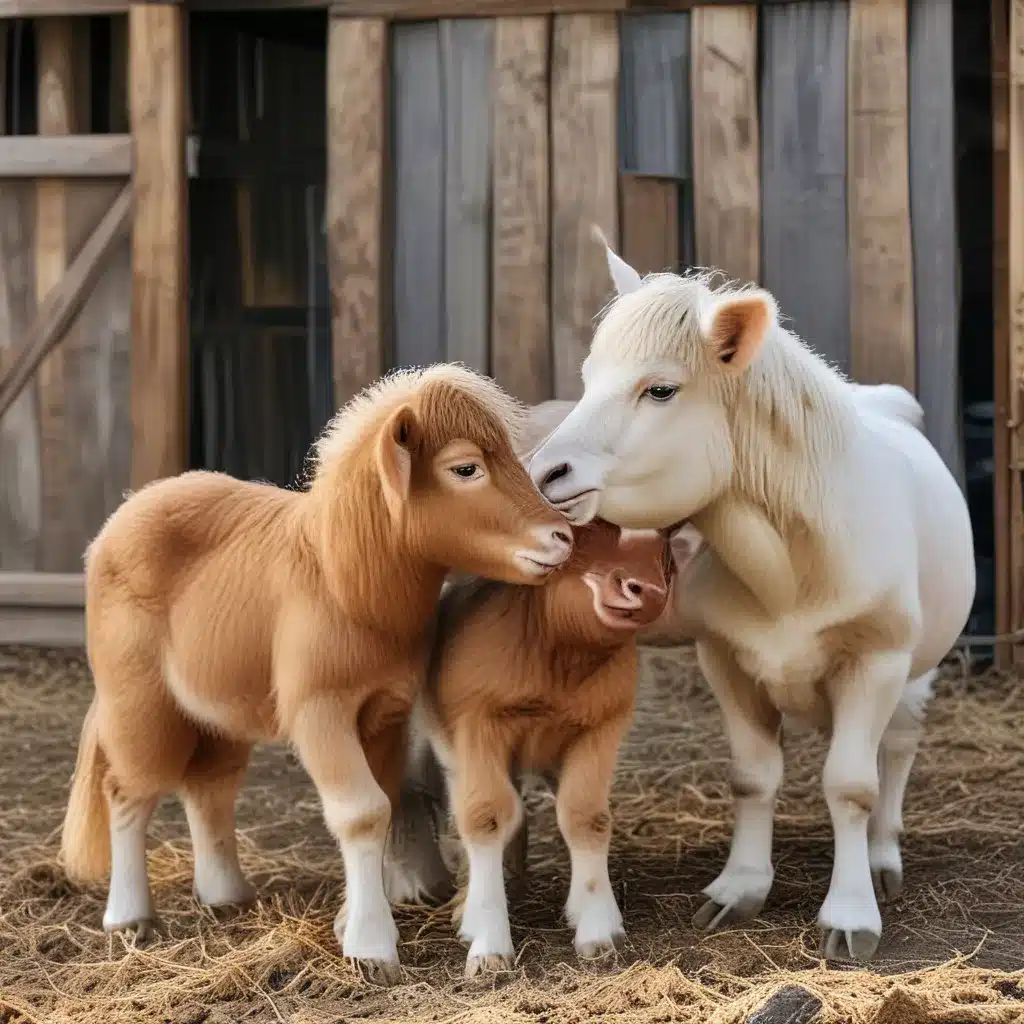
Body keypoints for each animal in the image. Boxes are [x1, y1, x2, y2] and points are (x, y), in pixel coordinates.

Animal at [61, 364, 577, 978]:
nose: (563, 537)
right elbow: (360, 812)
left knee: (209, 787)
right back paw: (128, 917)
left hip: (218, 707)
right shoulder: (319, 710)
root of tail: (120, 519)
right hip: (137, 699)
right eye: (465, 467)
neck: (342, 581)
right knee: (128, 790)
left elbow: (381, 804)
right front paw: (372, 947)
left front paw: (349, 922)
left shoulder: (385, 711)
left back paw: (226, 895)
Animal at [385, 520, 696, 974]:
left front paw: (598, 927)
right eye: (581, 538)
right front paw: (489, 943)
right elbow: (484, 817)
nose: (647, 592)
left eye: (666, 553)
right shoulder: (477, 723)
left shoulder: (602, 725)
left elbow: (586, 817)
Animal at [528, 237, 974, 958]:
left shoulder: (875, 660)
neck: (792, 564)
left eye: (660, 389)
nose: (545, 473)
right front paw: (739, 887)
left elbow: (852, 786)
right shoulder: (726, 659)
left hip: (917, 667)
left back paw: (882, 857)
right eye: (590, 378)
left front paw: (851, 912)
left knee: (899, 748)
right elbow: (753, 777)